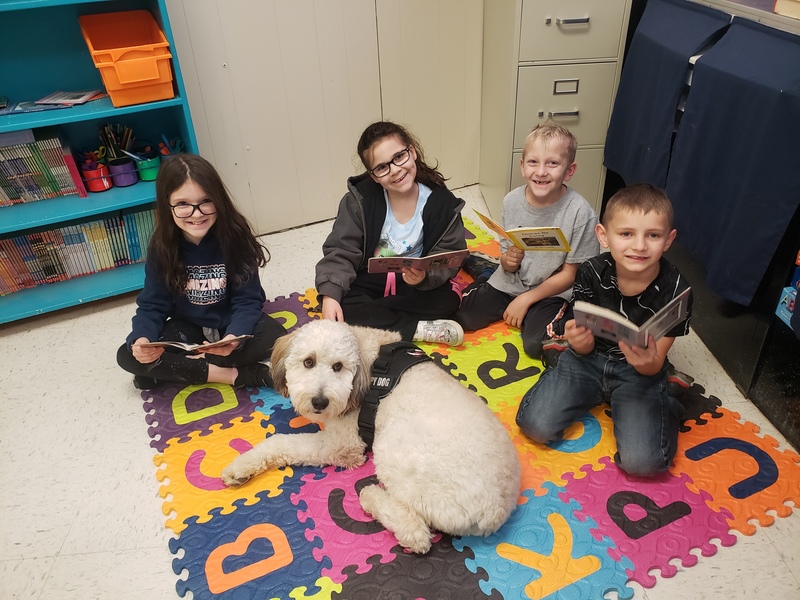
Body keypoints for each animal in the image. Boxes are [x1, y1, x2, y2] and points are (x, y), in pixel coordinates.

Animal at [220, 318, 520, 552]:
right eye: (308, 362)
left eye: (338, 366)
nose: (320, 402)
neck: (367, 358)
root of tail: (495, 510)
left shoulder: (342, 445)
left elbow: (280, 441)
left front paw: (240, 466)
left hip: (395, 450)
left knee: (417, 534)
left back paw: (371, 497)